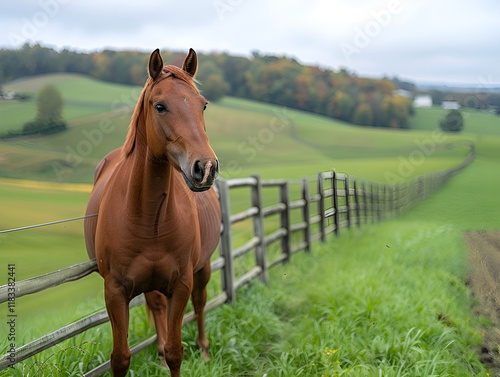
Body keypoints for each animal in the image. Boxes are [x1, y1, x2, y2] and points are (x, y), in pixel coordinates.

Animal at [84, 48, 221, 374]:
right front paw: (157, 354)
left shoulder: (181, 283)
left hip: (203, 269)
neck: (147, 217)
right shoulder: (115, 291)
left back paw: (204, 350)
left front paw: (174, 354)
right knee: (158, 306)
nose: (206, 168)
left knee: (200, 303)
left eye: (203, 105)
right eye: (160, 106)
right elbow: (120, 358)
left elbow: (175, 351)